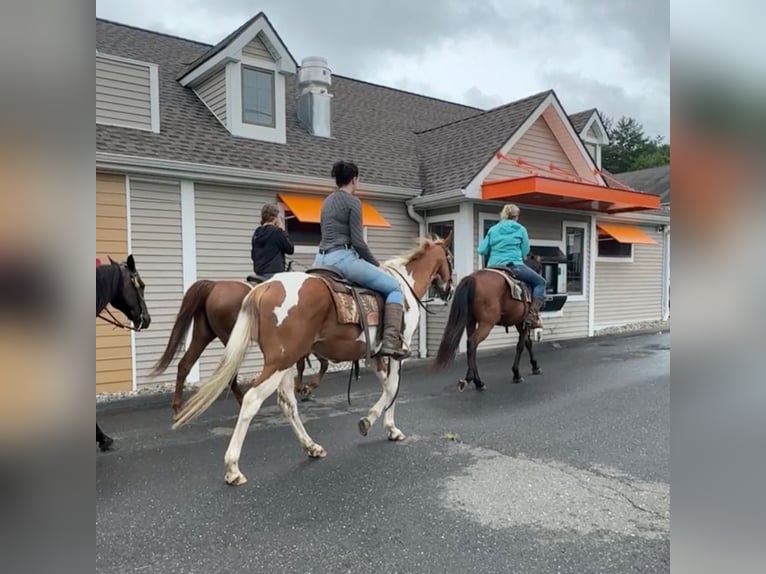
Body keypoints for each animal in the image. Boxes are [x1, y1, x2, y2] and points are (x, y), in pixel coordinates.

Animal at [150, 278, 330, 416]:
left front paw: (303, 388)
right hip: (231, 340)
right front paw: (307, 388)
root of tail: (214, 285)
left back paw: (178, 407)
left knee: (185, 365)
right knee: (229, 374)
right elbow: (318, 363)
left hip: (202, 335)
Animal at [172, 234, 456, 486]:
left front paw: (380, 424)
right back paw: (233, 468)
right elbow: (393, 388)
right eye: (450, 257)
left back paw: (311, 446)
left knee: (286, 403)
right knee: (252, 399)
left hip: (283, 361)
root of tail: (264, 287)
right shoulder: (396, 353)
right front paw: (382, 426)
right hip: (278, 362)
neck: (404, 285)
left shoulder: (375, 356)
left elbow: (387, 388)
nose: (449, 289)